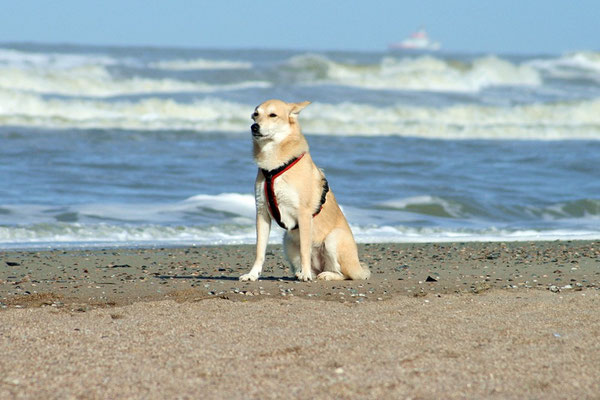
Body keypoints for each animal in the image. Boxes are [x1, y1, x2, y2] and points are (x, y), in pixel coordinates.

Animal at [239, 99, 370, 282]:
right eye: (255, 114)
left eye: (273, 115)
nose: (254, 127)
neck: (274, 166)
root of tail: (358, 267)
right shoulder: (262, 212)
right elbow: (260, 251)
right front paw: (252, 274)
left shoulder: (304, 214)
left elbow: (304, 250)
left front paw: (307, 275)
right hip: (287, 241)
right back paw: (303, 272)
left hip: (333, 239)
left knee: (343, 274)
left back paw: (323, 274)